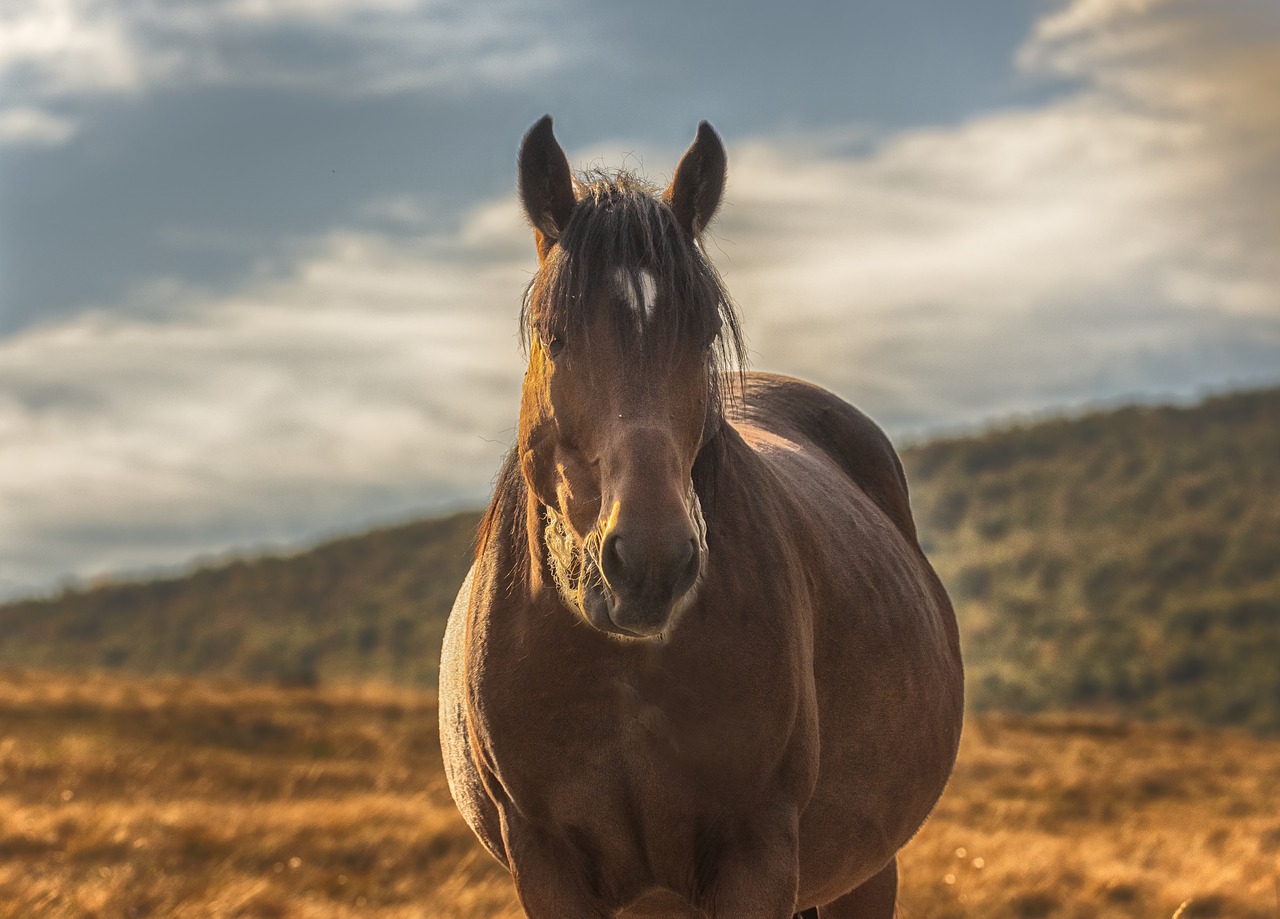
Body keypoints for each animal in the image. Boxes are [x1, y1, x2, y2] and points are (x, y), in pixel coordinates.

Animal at [440, 117, 962, 919]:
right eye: (553, 333)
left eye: (706, 329)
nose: (650, 561)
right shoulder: (546, 863)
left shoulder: (757, 854)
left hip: (866, 870)